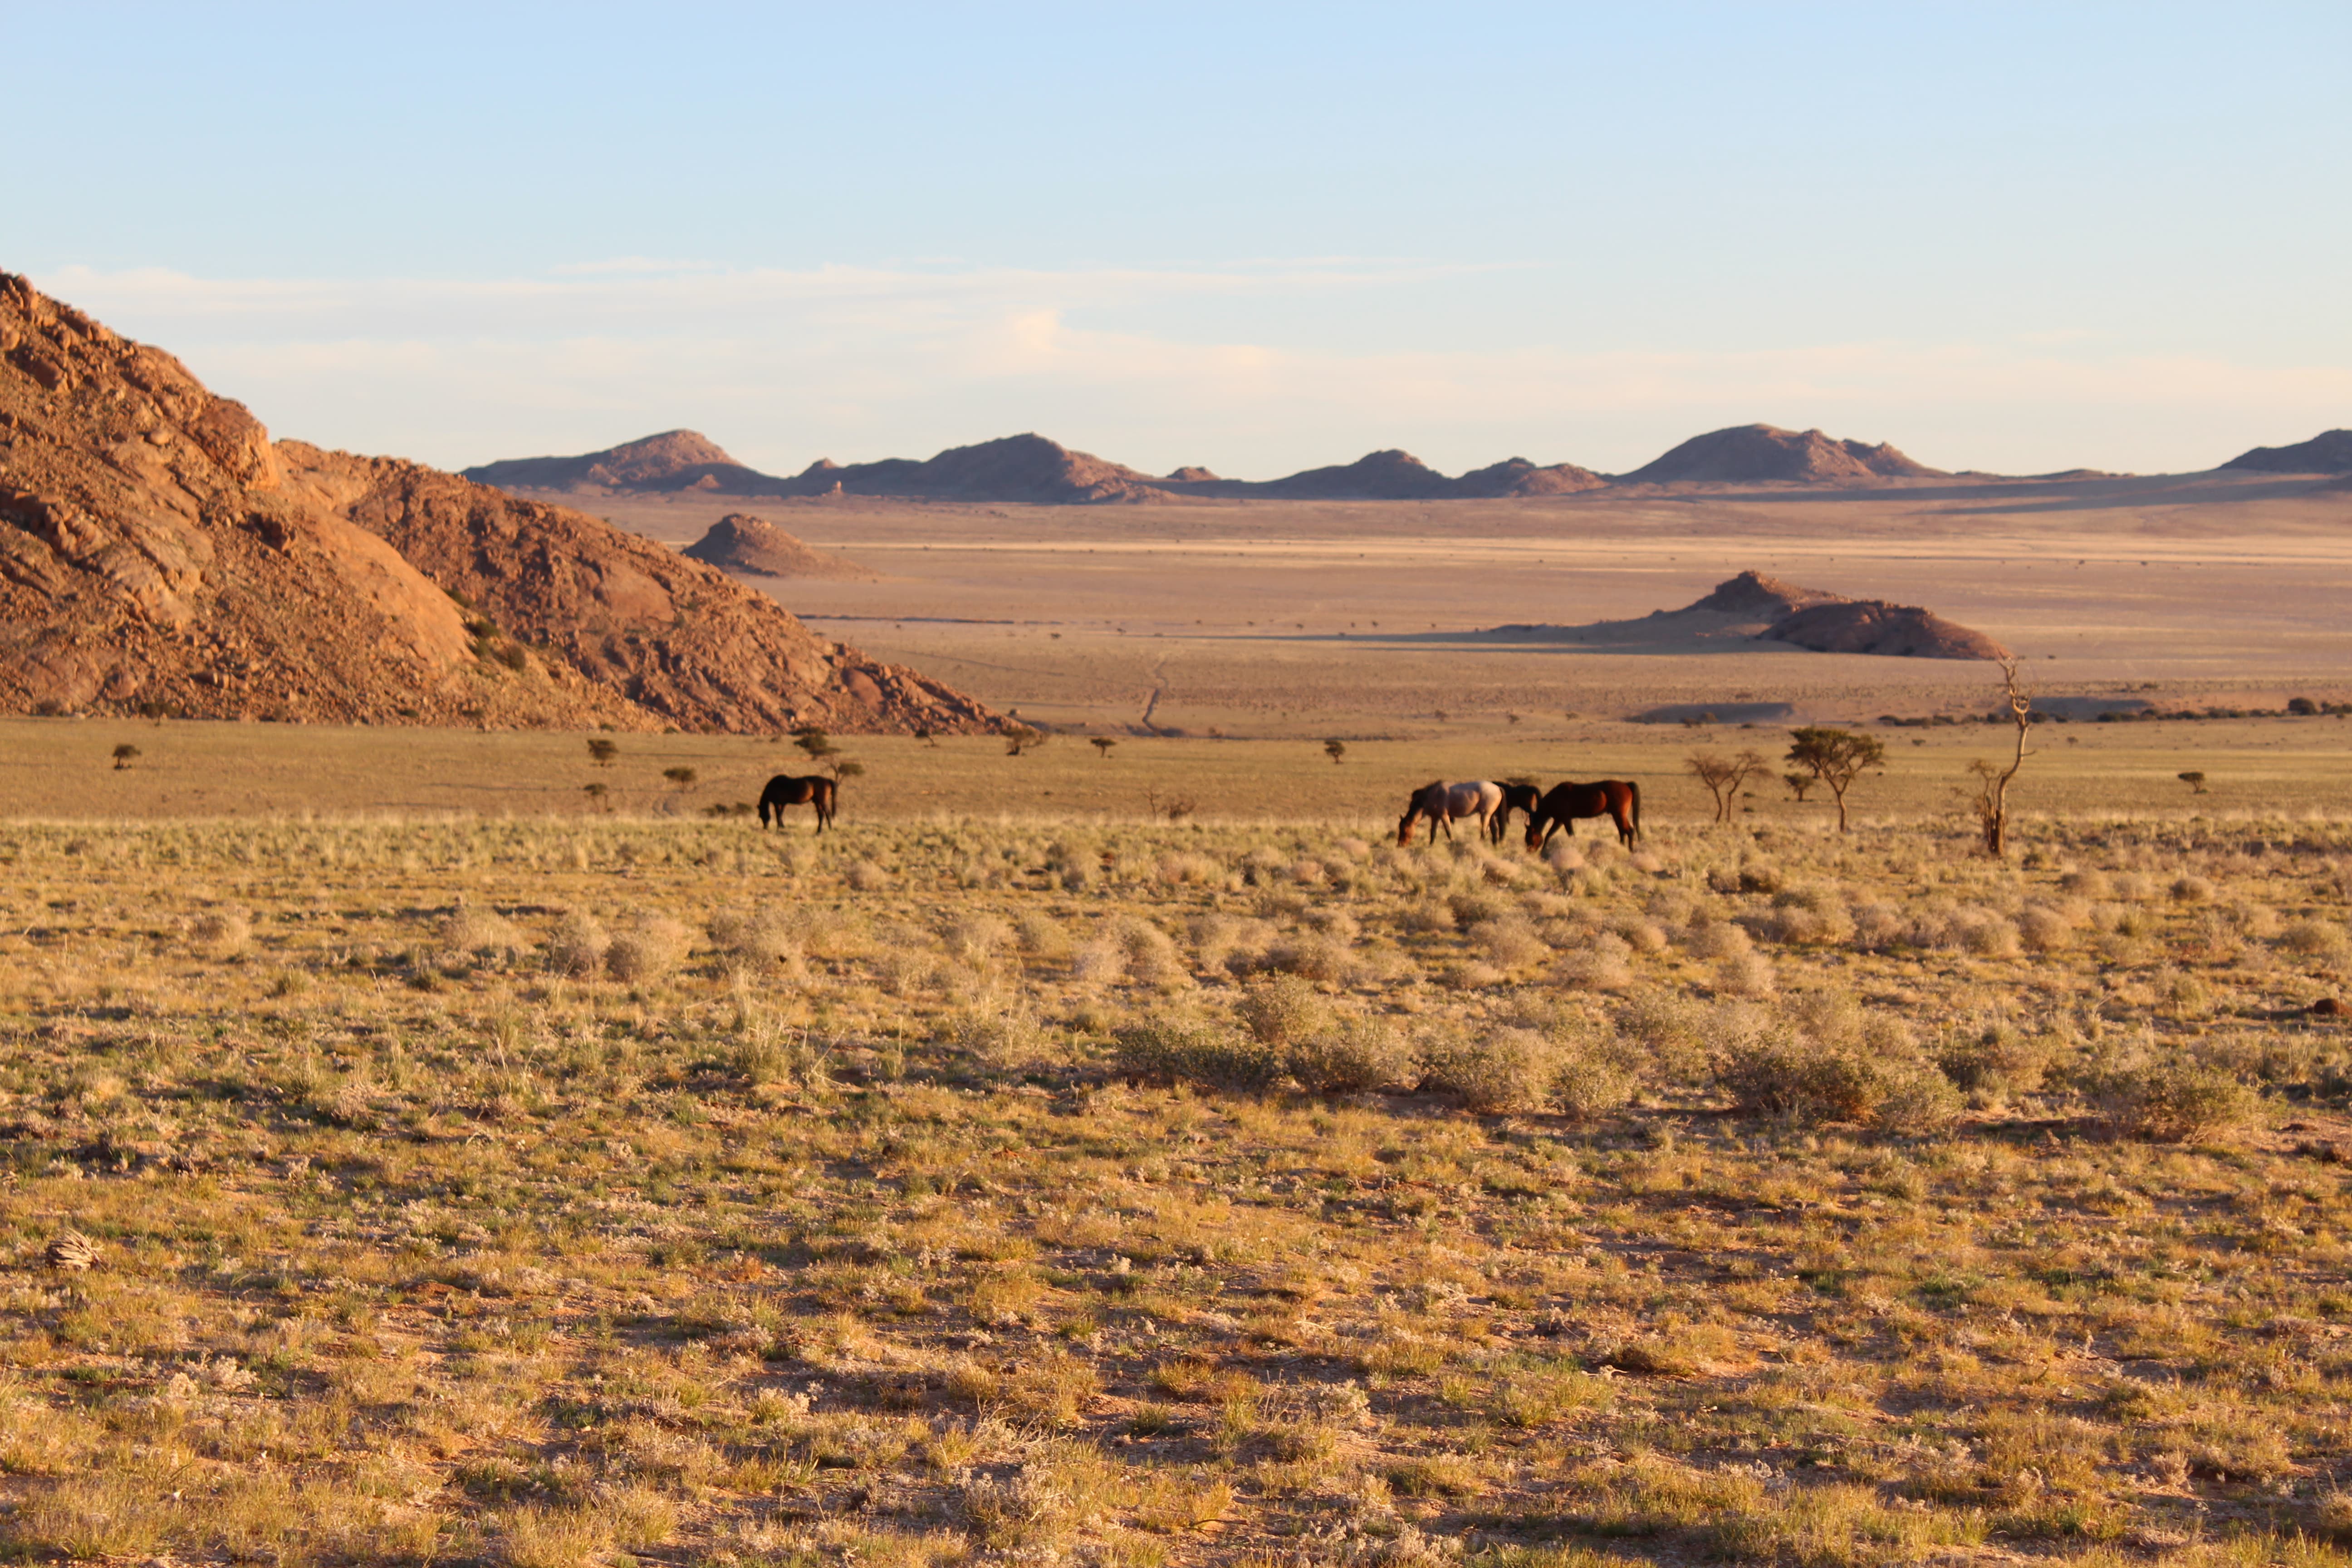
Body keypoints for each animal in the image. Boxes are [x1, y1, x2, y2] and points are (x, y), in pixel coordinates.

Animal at [757, 771, 842, 832]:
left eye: (761, 815)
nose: (765, 828)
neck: (773, 786)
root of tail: (827, 781)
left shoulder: (777, 803)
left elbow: (778, 815)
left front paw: (779, 828)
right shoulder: (783, 804)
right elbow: (781, 814)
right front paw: (782, 827)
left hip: (822, 801)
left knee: (827, 813)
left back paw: (830, 829)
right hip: (818, 802)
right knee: (821, 815)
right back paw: (819, 832)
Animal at [1392, 780, 1505, 846]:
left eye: (1405, 831)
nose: (1400, 844)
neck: (1430, 796)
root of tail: (1497, 788)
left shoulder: (1444, 816)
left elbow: (1448, 831)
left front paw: (1452, 843)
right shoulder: (1435, 818)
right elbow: (1433, 833)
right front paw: (1431, 845)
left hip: (1485, 815)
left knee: (1484, 831)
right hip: (1491, 815)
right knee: (1495, 829)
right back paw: (1494, 845)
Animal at [1514, 780, 1646, 851]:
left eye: (1530, 838)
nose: (1530, 851)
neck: (1556, 797)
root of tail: (1626, 784)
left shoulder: (1563, 820)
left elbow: (1569, 834)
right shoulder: (1559, 820)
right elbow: (1549, 835)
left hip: (1619, 815)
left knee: (1629, 831)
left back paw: (1631, 850)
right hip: (1617, 815)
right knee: (1623, 831)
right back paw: (1622, 847)